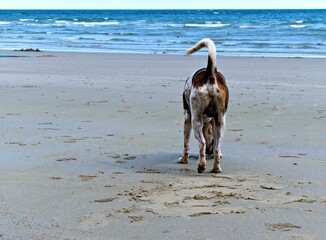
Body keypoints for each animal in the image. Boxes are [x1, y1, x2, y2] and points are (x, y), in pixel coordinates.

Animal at [178, 37, 229, 173]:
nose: (209, 152)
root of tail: (210, 76)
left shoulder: (187, 118)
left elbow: (186, 144)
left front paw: (183, 160)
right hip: (220, 122)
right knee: (217, 146)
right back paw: (216, 168)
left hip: (196, 120)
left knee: (202, 143)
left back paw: (201, 165)